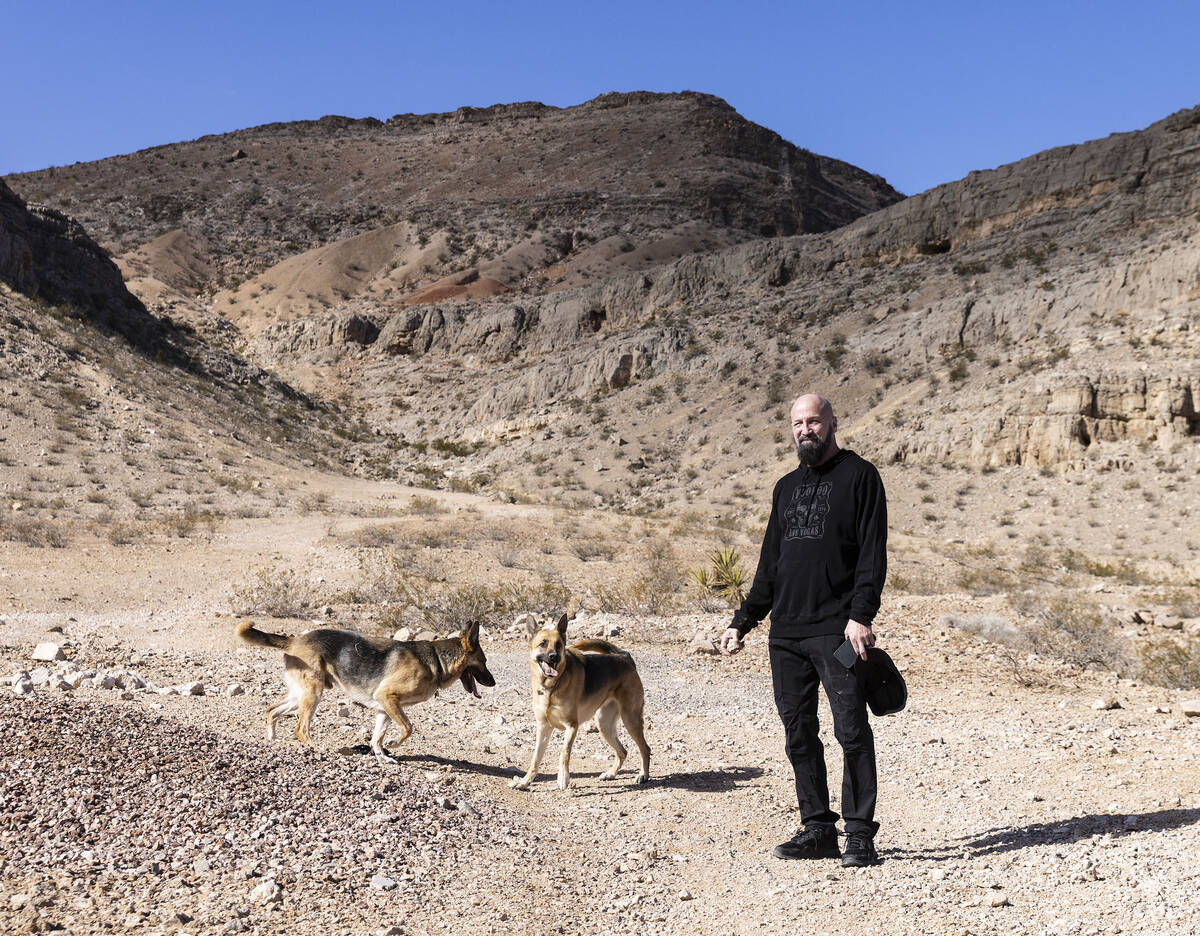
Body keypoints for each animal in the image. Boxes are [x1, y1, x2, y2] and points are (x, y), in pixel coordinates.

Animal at [236, 619, 494, 763]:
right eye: (484, 661)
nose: (493, 683)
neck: (438, 660)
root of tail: (293, 640)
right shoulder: (388, 698)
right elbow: (408, 728)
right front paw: (392, 744)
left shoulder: (385, 708)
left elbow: (376, 738)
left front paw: (383, 757)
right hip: (313, 694)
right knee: (300, 728)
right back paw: (318, 748)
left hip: (299, 695)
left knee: (271, 710)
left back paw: (272, 740)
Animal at [511, 614, 652, 792]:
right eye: (543, 643)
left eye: (559, 645)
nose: (554, 656)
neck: (551, 687)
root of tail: (625, 658)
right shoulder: (543, 728)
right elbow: (535, 759)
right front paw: (524, 782)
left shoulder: (572, 726)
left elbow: (564, 752)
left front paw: (563, 778)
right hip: (604, 724)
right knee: (623, 752)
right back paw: (611, 774)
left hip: (630, 719)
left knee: (645, 748)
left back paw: (643, 775)